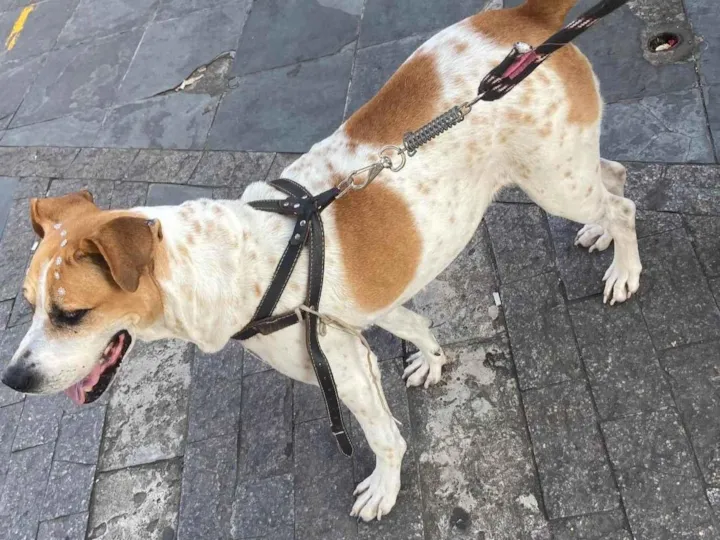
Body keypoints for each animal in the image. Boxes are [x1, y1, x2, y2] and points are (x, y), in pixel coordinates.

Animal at [2, 0, 641, 522]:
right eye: (29, 305)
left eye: (70, 314)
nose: (13, 379)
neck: (222, 264)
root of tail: (525, 18)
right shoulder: (359, 320)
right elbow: (415, 322)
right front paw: (432, 360)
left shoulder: (344, 369)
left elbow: (384, 437)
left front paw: (384, 487)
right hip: (564, 172)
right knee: (613, 176)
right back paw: (598, 236)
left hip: (553, 181)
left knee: (624, 203)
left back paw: (624, 269)